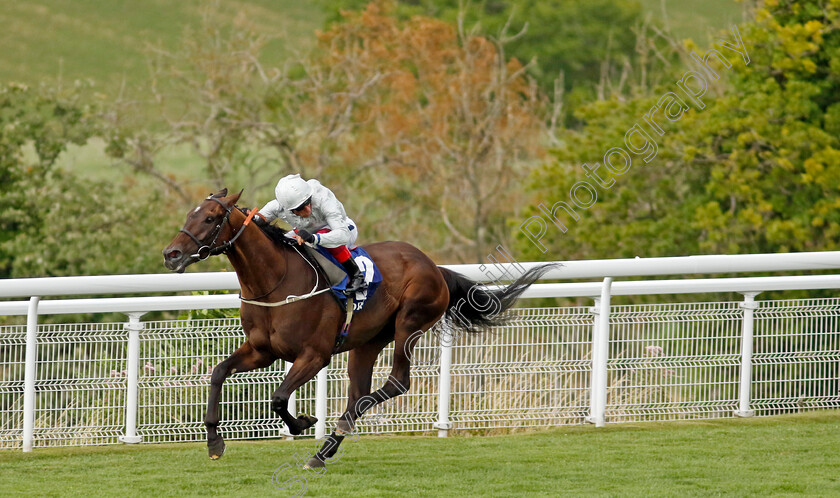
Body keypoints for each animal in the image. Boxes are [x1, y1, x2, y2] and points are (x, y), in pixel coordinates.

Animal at [164, 189, 556, 468]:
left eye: (210, 218)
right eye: (189, 215)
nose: (171, 254)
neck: (276, 280)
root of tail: (433, 265)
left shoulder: (315, 355)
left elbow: (278, 398)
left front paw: (303, 422)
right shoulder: (262, 351)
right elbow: (218, 373)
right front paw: (214, 442)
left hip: (409, 324)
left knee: (395, 383)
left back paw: (334, 435)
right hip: (367, 342)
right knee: (359, 393)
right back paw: (323, 452)